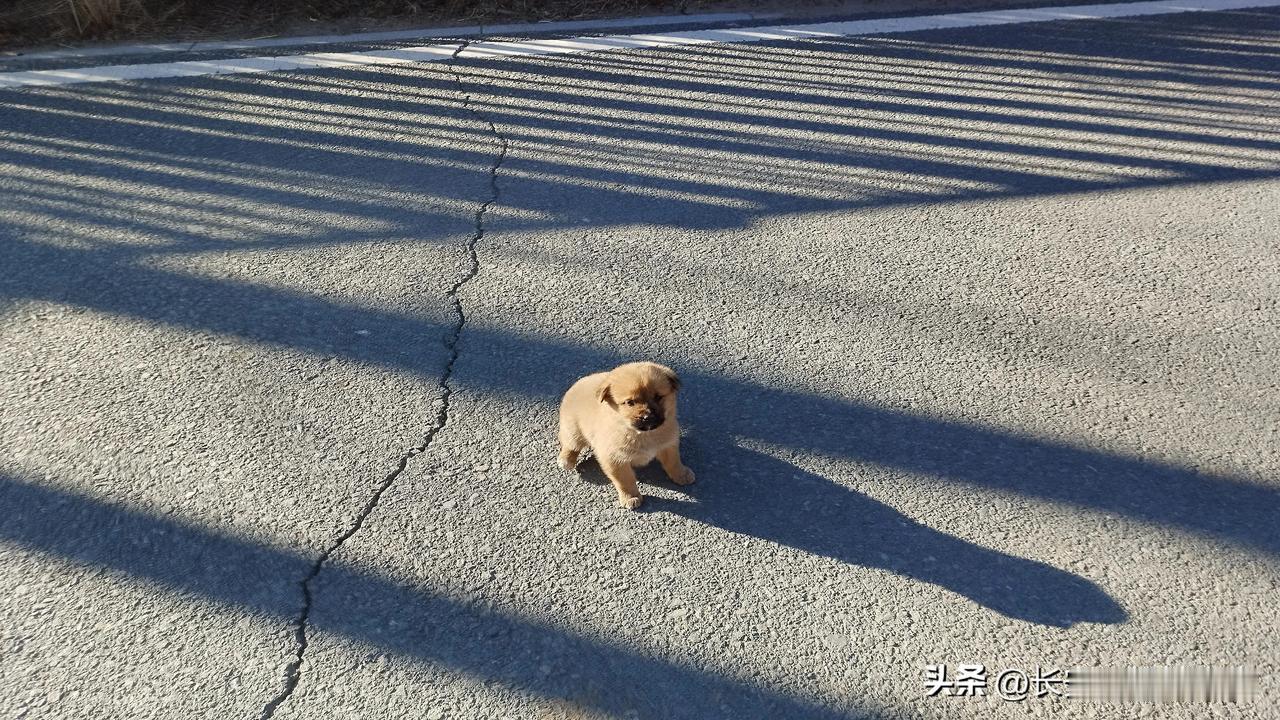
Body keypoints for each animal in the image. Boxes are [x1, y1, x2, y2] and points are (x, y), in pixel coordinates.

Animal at [563, 361, 701, 507]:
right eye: (630, 402)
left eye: (658, 397)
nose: (647, 416)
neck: (642, 434)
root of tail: (579, 382)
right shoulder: (614, 459)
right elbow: (625, 480)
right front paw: (630, 496)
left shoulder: (668, 445)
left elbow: (674, 461)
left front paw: (681, 474)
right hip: (573, 431)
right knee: (570, 444)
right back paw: (566, 459)